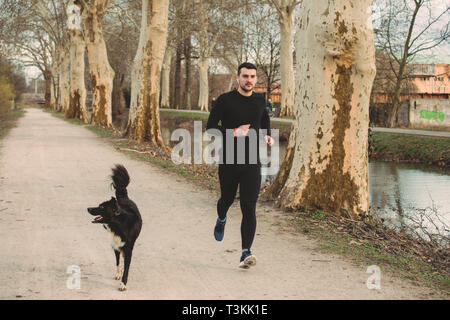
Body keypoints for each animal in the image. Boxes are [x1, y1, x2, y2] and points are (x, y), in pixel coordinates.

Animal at [88, 164, 142, 292]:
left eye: (102, 207)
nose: (88, 208)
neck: (119, 225)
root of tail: (123, 199)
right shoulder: (115, 245)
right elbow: (118, 263)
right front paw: (118, 274)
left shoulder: (128, 249)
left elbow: (127, 268)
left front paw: (123, 284)